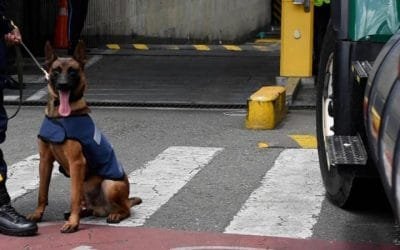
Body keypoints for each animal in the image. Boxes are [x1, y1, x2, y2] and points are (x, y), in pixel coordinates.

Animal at [27, 41, 142, 232]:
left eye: (73, 71)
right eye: (56, 71)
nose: (63, 85)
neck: (59, 118)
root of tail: (101, 209)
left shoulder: (76, 162)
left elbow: (73, 197)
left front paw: (73, 223)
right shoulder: (45, 160)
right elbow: (42, 192)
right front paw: (37, 214)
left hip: (109, 184)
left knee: (125, 209)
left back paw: (115, 214)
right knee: (87, 204)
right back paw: (84, 212)